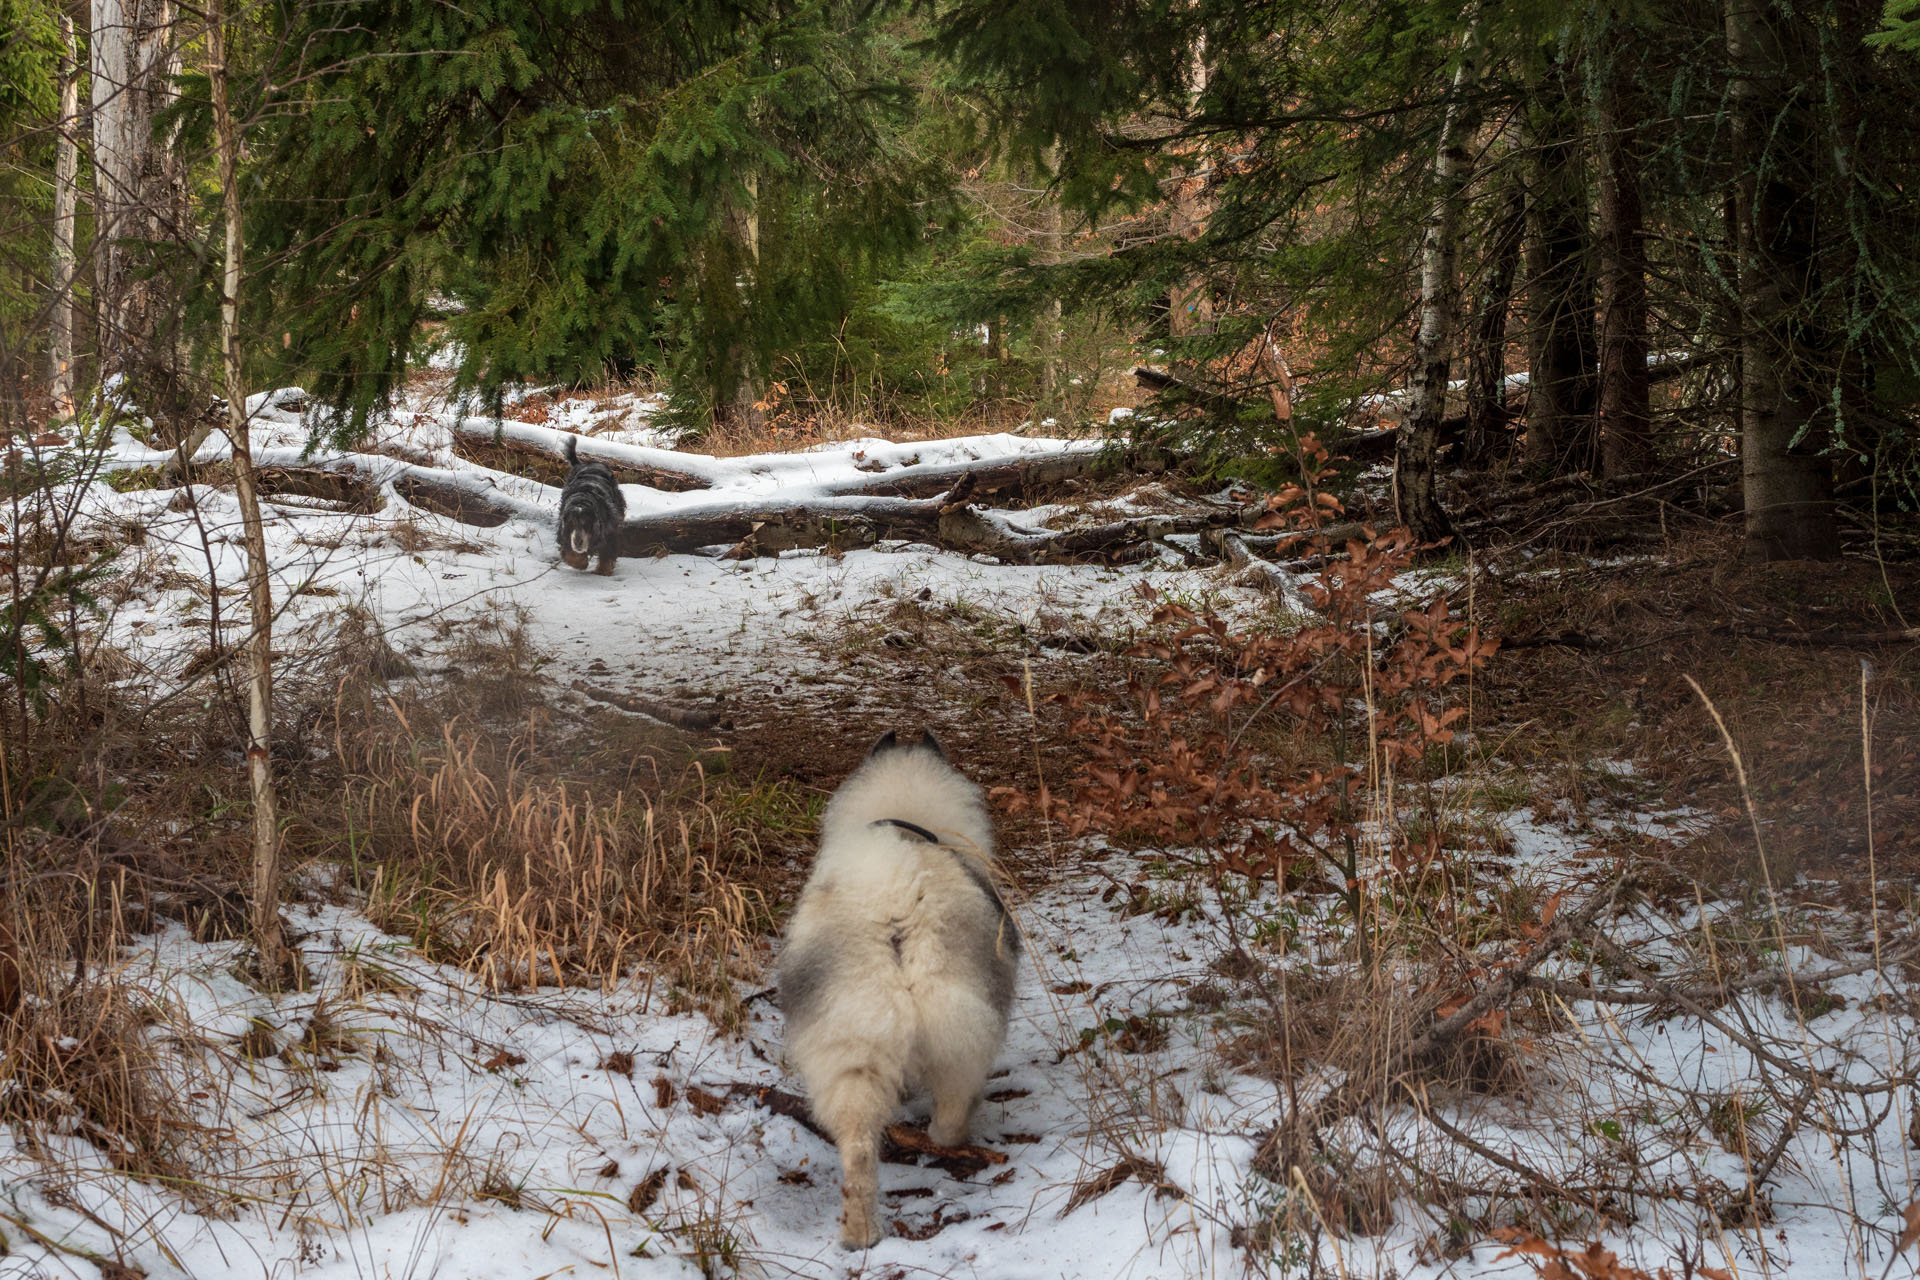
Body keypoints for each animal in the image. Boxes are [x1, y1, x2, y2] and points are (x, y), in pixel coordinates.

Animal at [556, 435, 622, 575]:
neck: (582, 499)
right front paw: (580, 562)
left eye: (586, 523)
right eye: (571, 523)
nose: (578, 542)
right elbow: (569, 551)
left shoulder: (610, 531)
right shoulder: (564, 532)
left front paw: (603, 571)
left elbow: (607, 552)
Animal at [775, 729, 1021, 1251]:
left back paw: (860, 1233)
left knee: (859, 1151)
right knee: (950, 1109)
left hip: (854, 1048)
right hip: (956, 1030)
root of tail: (896, 906)